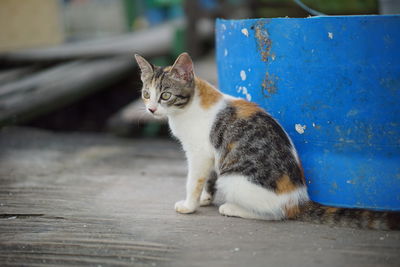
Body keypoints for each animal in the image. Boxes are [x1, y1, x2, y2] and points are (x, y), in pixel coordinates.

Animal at [135, 52, 400, 232]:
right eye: (146, 94)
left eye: (165, 95)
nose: (151, 109)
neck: (188, 107)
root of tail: (298, 199)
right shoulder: (211, 154)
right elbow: (208, 177)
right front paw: (204, 198)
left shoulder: (199, 153)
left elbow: (194, 180)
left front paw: (190, 205)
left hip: (232, 179)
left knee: (275, 214)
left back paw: (232, 208)